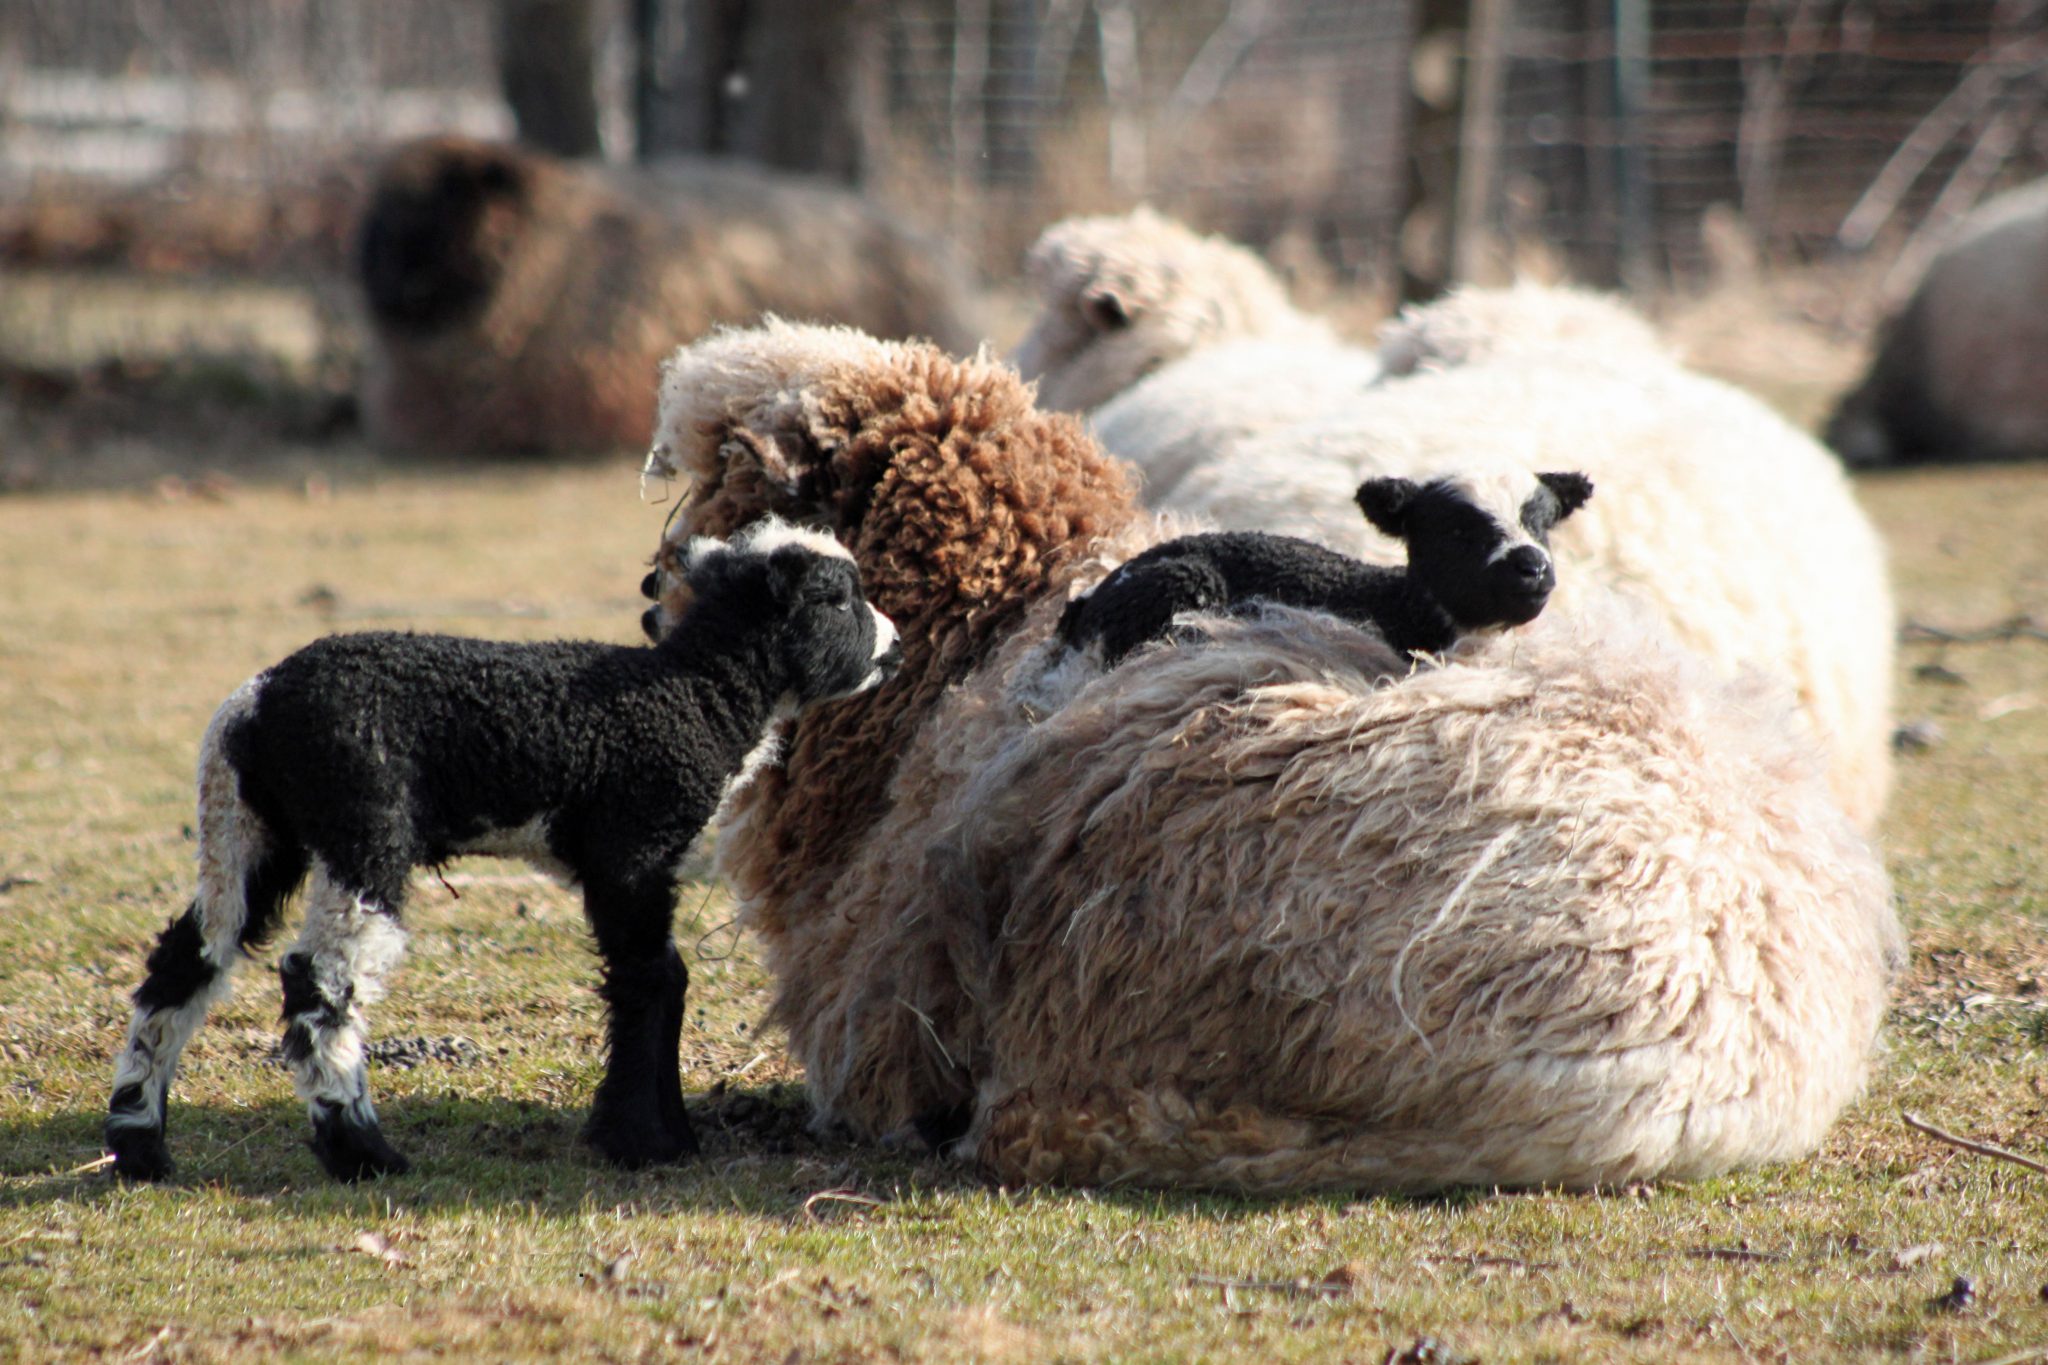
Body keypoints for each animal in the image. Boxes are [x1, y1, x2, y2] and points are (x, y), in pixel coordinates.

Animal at [105, 517, 897, 1178]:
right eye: (838, 597)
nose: (894, 647)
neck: (702, 694)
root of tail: (256, 704)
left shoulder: (627, 861)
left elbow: (653, 979)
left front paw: (655, 1130)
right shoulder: (632, 845)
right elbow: (652, 979)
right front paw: (644, 1139)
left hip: (251, 831)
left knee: (189, 958)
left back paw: (141, 1142)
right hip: (362, 822)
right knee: (323, 979)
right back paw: (361, 1151)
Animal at [1056, 472, 1597, 671]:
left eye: (1542, 524)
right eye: (1457, 531)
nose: (1532, 567)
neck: (1399, 606)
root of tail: (1084, 604)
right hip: (1179, 584)